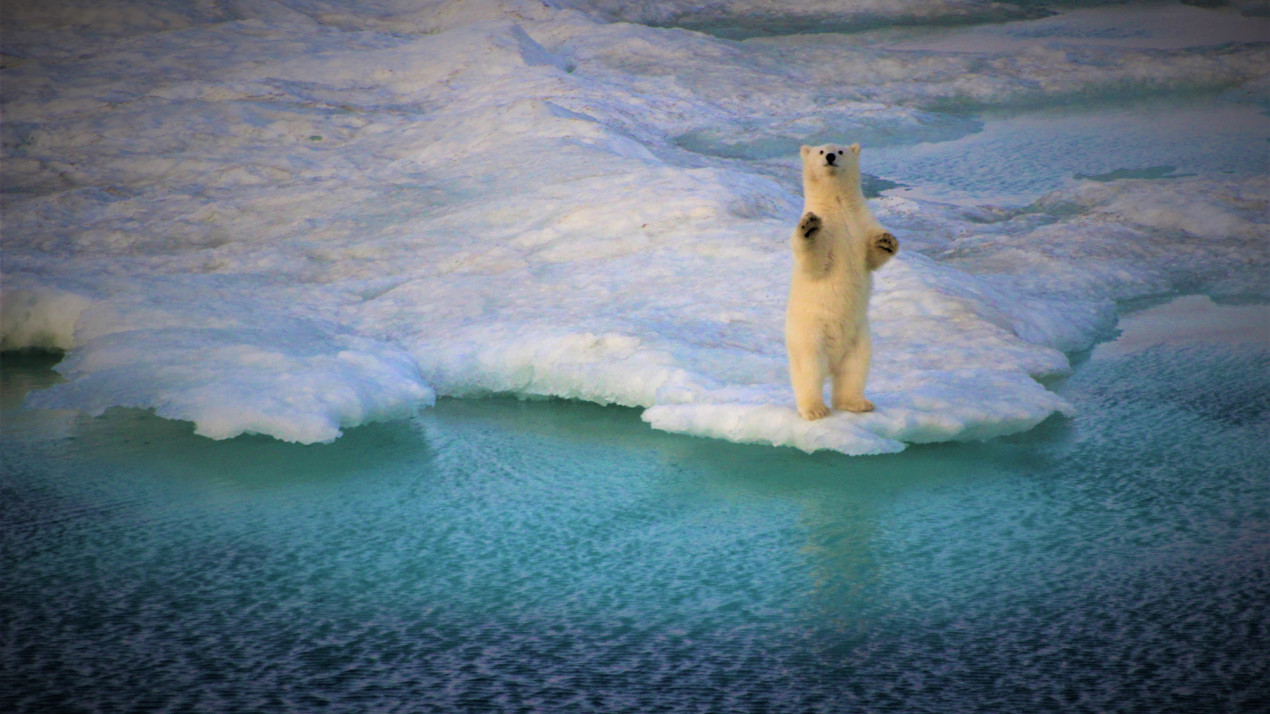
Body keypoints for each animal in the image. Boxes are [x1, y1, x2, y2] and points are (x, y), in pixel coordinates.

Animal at [782, 142, 894, 419]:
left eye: (841, 151)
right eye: (821, 152)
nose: (831, 157)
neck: (838, 206)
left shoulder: (862, 224)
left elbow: (871, 258)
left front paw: (887, 241)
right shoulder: (829, 234)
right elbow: (814, 262)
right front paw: (809, 227)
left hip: (859, 338)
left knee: (854, 369)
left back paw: (857, 403)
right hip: (809, 334)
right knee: (809, 369)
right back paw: (815, 409)